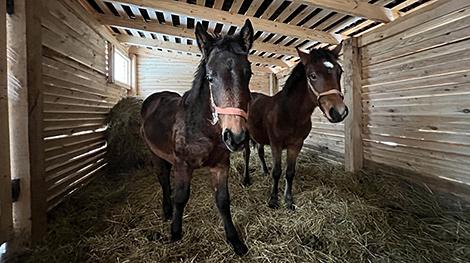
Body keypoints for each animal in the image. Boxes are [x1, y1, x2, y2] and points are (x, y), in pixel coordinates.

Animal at [140, 20, 253, 256]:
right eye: (210, 77)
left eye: (248, 74)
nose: (236, 137)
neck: (202, 129)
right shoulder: (183, 165)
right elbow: (181, 198)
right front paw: (175, 233)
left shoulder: (221, 165)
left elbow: (223, 201)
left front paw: (235, 240)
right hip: (155, 154)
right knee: (163, 180)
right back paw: (166, 211)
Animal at [242, 44, 348, 210]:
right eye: (312, 75)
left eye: (339, 72)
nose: (339, 112)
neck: (290, 113)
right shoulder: (276, 144)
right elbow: (277, 172)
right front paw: (273, 200)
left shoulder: (296, 145)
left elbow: (290, 172)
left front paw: (288, 201)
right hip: (246, 134)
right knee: (246, 154)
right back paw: (246, 179)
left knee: (259, 151)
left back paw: (264, 170)